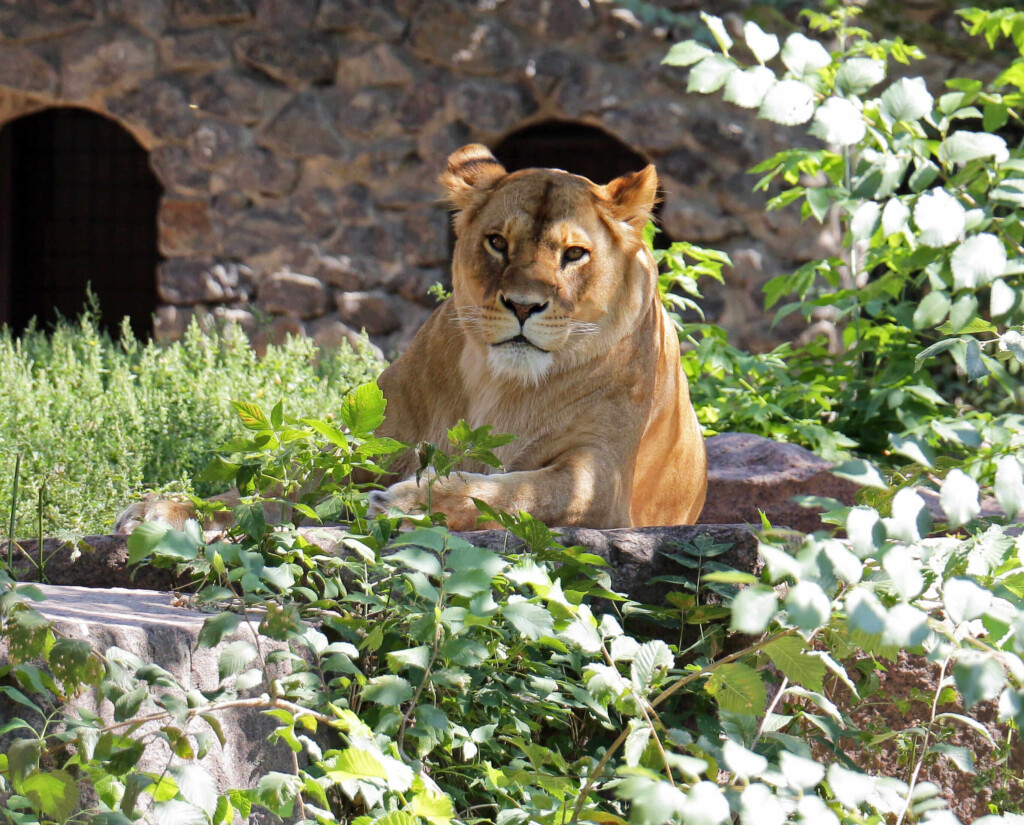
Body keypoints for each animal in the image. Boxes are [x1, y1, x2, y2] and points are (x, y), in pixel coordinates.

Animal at [115, 144, 706, 534]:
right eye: (497, 242)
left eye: (574, 254)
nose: (522, 305)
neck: (504, 385)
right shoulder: (368, 444)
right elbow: (276, 487)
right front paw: (167, 509)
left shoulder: (602, 480)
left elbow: (525, 492)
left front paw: (411, 505)